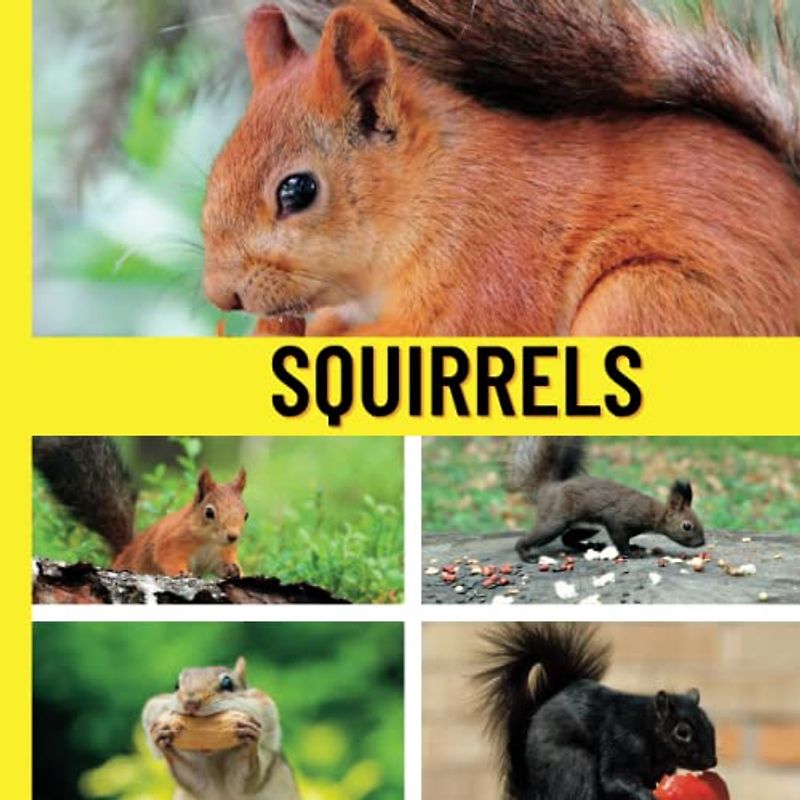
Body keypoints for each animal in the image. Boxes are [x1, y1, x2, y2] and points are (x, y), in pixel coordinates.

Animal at [33, 437, 248, 578]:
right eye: (209, 512)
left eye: (246, 515)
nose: (233, 536)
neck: (209, 541)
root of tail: (122, 553)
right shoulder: (170, 541)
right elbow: (167, 558)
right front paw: (181, 573)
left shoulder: (221, 554)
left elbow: (222, 567)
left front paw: (235, 570)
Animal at [143, 656, 299, 800]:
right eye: (176, 686)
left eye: (227, 682)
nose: (191, 702)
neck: (215, 756)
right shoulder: (197, 781)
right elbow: (191, 777)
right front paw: (161, 736)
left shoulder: (266, 758)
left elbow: (247, 779)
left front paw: (249, 741)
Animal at [476, 622, 717, 800]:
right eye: (682, 732)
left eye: (710, 725)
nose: (712, 761)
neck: (647, 728)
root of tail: (533, 793)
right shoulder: (621, 741)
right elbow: (613, 778)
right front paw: (647, 795)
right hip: (574, 764)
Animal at [508, 437, 705, 560]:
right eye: (687, 526)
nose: (701, 543)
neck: (652, 513)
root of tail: (546, 489)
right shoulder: (618, 519)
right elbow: (620, 538)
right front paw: (631, 552)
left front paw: (635, 547)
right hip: (555, 520)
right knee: (537, 537)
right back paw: (524, 554)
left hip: (588, 526)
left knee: (568, 539)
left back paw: (590, 546)